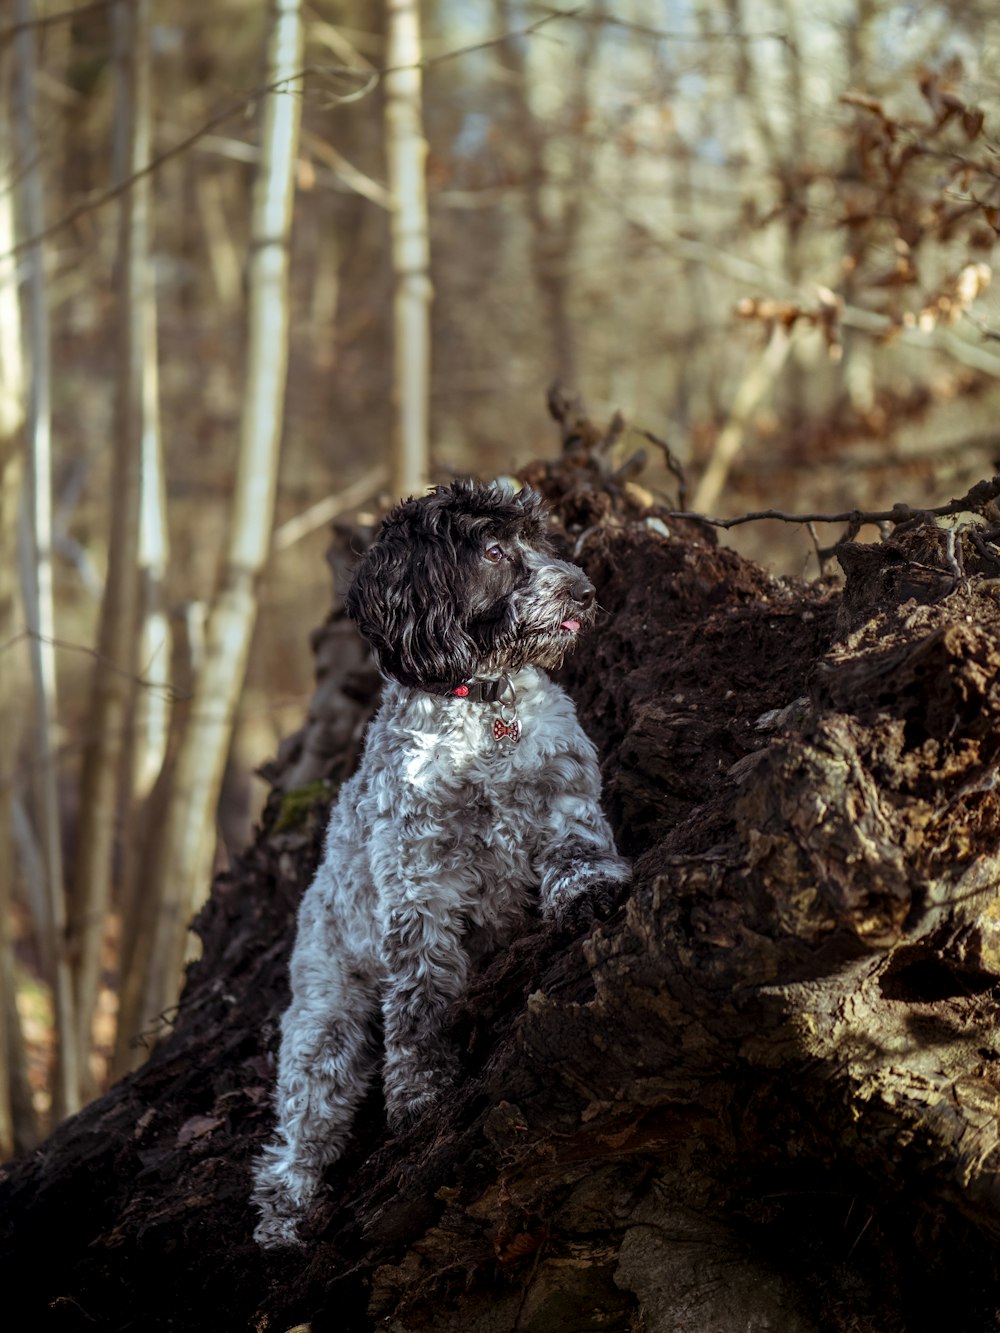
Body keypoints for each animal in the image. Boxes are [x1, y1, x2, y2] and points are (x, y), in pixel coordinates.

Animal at [252, 482, 626, 1247]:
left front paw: (591, 893)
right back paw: (286, 1215)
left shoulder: (563, 797)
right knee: (297, 1135)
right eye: (493, 551)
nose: (584, 589)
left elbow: (579, 850)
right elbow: (420, 1003)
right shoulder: (418, 886)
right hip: (324, 1029)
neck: (484, 710)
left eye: (541, 539)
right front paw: (421, 1093)